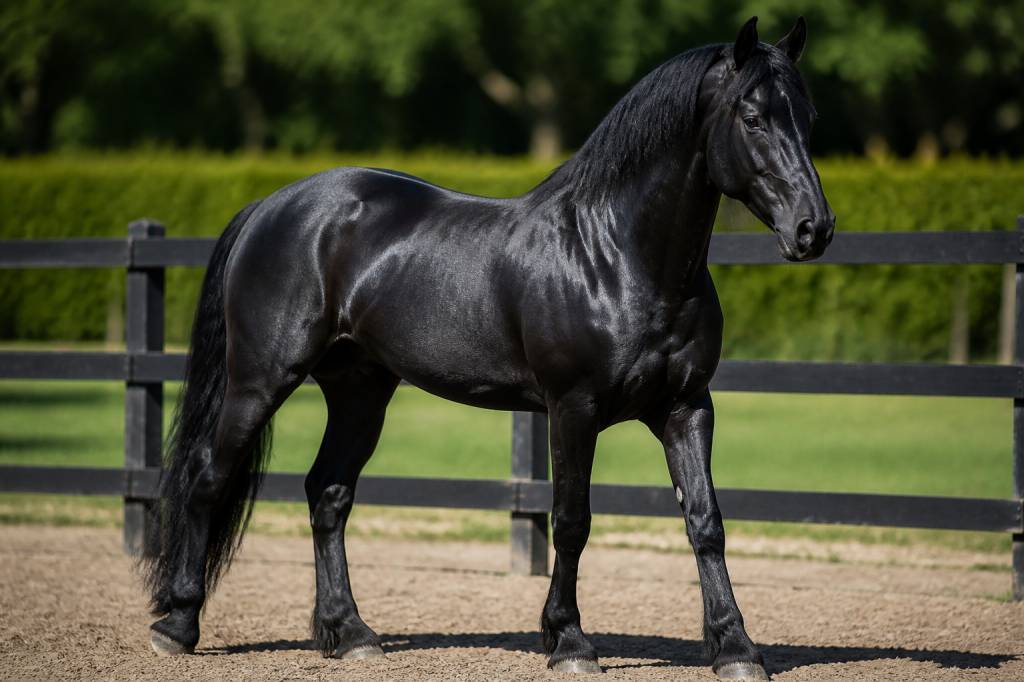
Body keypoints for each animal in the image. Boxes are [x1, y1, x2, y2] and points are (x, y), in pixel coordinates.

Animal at [143, 16, 833, 681]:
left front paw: (736, 648)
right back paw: (177, 626)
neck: (616, 255)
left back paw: (351, 634)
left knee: (328, 494)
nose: (814, 229)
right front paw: (569, 641)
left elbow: (706, 523)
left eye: (808, 117)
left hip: (360, 390)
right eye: (753, 117)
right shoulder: (572, 408)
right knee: (208, 476)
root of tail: (273, 205)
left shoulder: (687, 407)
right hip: (261, 380)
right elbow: (571, 520)